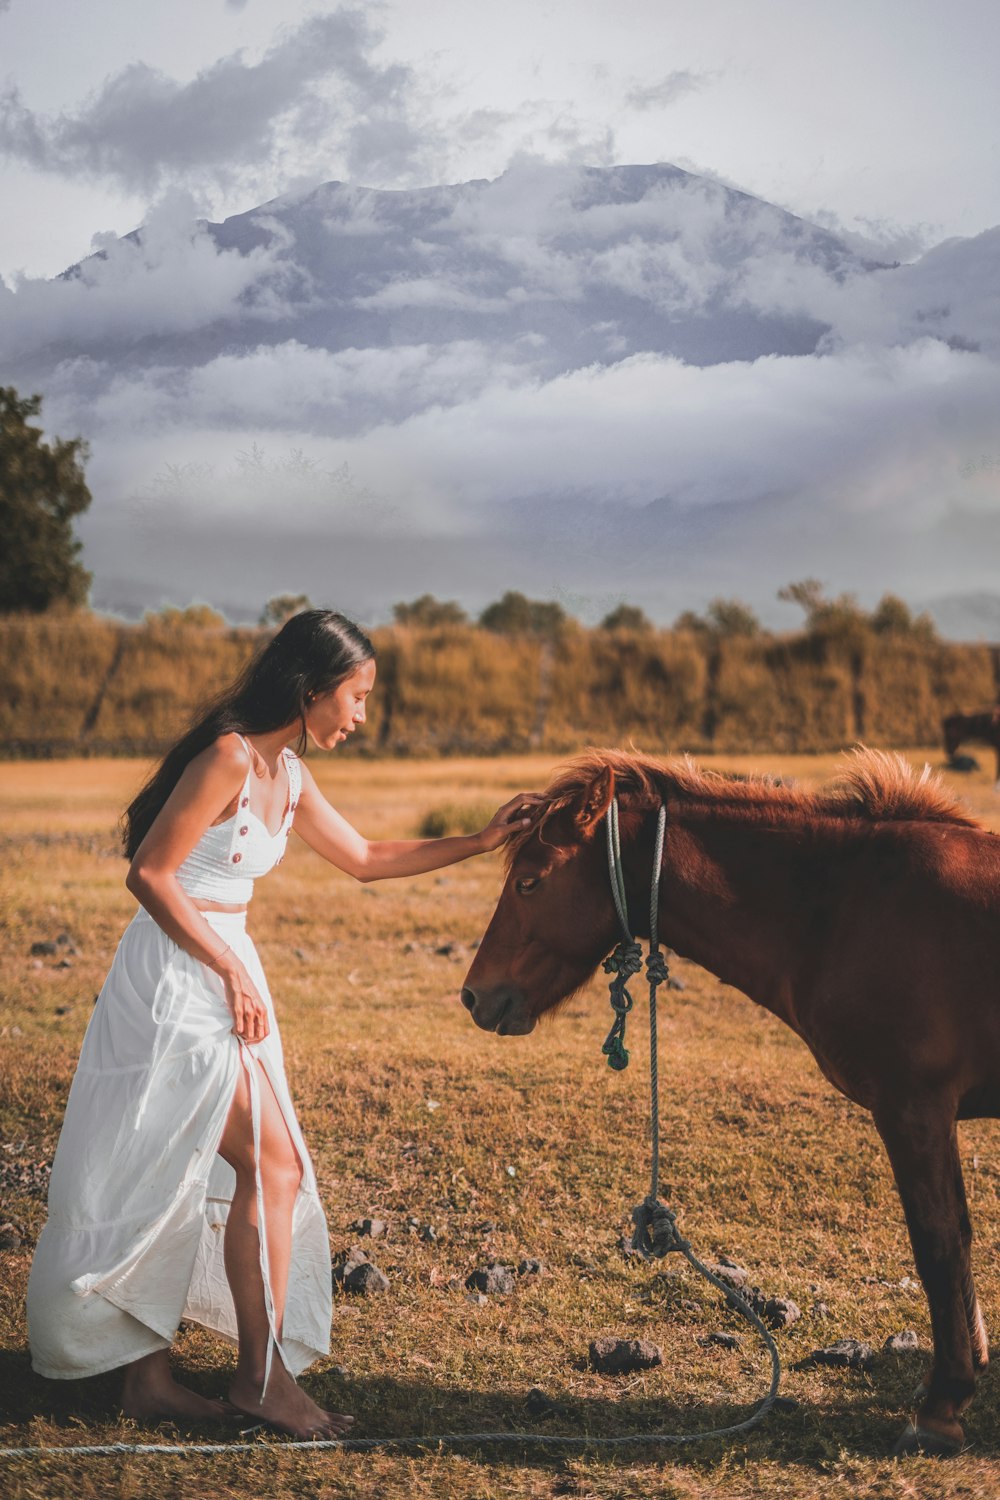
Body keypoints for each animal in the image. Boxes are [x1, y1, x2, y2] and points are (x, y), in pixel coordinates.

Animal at [461, 750, 1000, 1452]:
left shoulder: (915, 1107)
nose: (474, 996)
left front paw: (941, 1407)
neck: (845, 908)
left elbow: (939, 1242)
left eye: (529, 882)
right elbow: (956, 1237)